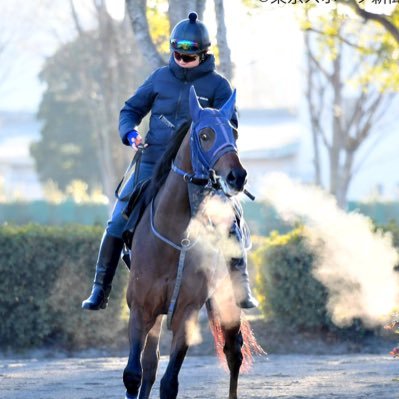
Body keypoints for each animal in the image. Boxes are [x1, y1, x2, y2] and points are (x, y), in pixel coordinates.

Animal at [123, 86, 264, 399]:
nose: (238, 176)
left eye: (233, 132)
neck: (174, 240)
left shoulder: (186, 312)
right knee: (149, 364)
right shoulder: (141, 307)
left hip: (227, 298)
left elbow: (169, 383)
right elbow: (135, 373)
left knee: (233, 353)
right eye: (205, 134)